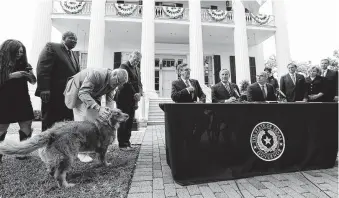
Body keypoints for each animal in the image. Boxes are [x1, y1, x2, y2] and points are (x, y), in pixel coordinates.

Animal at [0, 108, 129, 187]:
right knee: (58, 175)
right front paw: (106, 165)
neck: (107, 122)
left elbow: (99, 158)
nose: (127, 115)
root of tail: (51, 132)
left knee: (52, 171)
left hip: (55, 158)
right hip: (67, 157)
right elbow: (103, 159)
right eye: (117, 113)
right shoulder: (103, 148)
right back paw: (67, 185)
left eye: (121, 111)